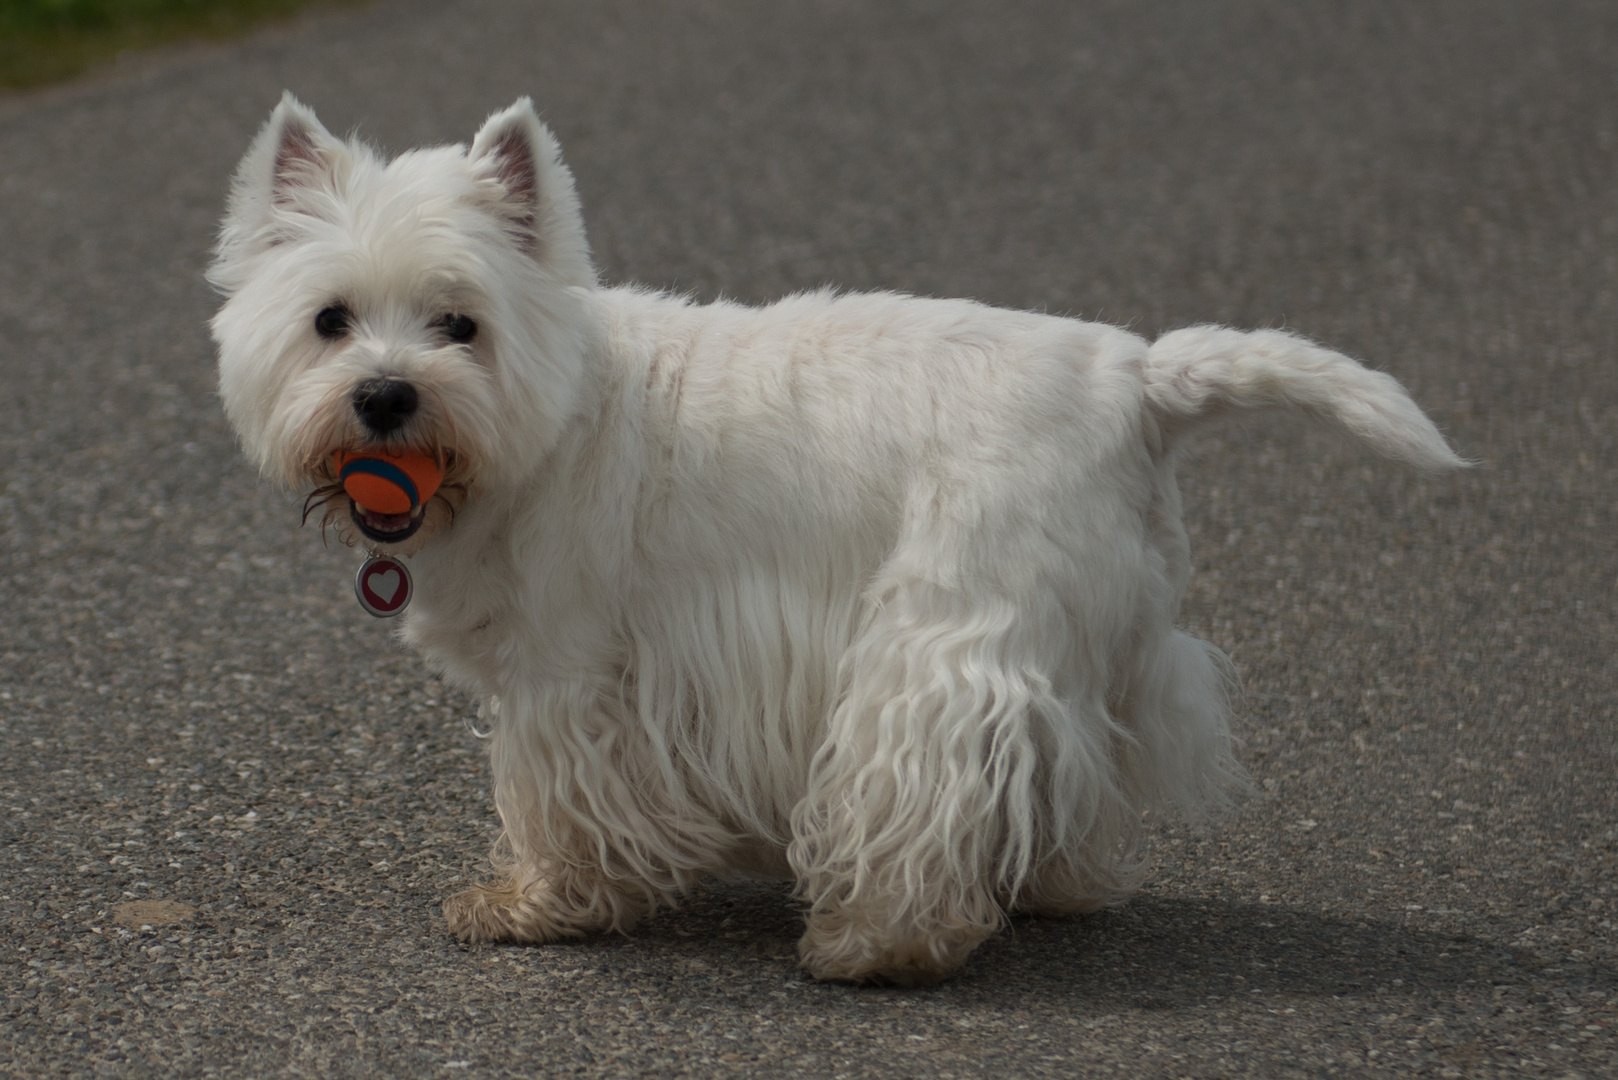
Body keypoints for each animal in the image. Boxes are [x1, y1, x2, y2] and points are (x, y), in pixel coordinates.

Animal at [205, 95, 1469, 990]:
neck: (549, 425)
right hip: (1101, 633)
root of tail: (1138, 379)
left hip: (942, 635)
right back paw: (1050, 887)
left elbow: (555, 793)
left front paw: (538, 904)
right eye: (329, 320)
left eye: (459, 323)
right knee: (1072, 766)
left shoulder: (569, 668)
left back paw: (874, 943)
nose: (383, 400)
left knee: (928, 787)